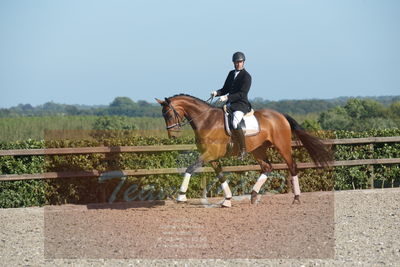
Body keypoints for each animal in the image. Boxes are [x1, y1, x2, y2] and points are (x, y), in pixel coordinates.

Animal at [155, 95, 332, 208]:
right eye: (163, 115)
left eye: (169, 114)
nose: (172, 135)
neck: (206, 121)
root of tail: (280, 115)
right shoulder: (212, 157)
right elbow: (221, 176)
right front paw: (227, 200)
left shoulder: (209, 154)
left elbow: (190, 168)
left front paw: (181, 196)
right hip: (258, 150)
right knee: (267, 167)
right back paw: (253, 196)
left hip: (282, 146)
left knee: (292, 166)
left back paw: (296, 198)